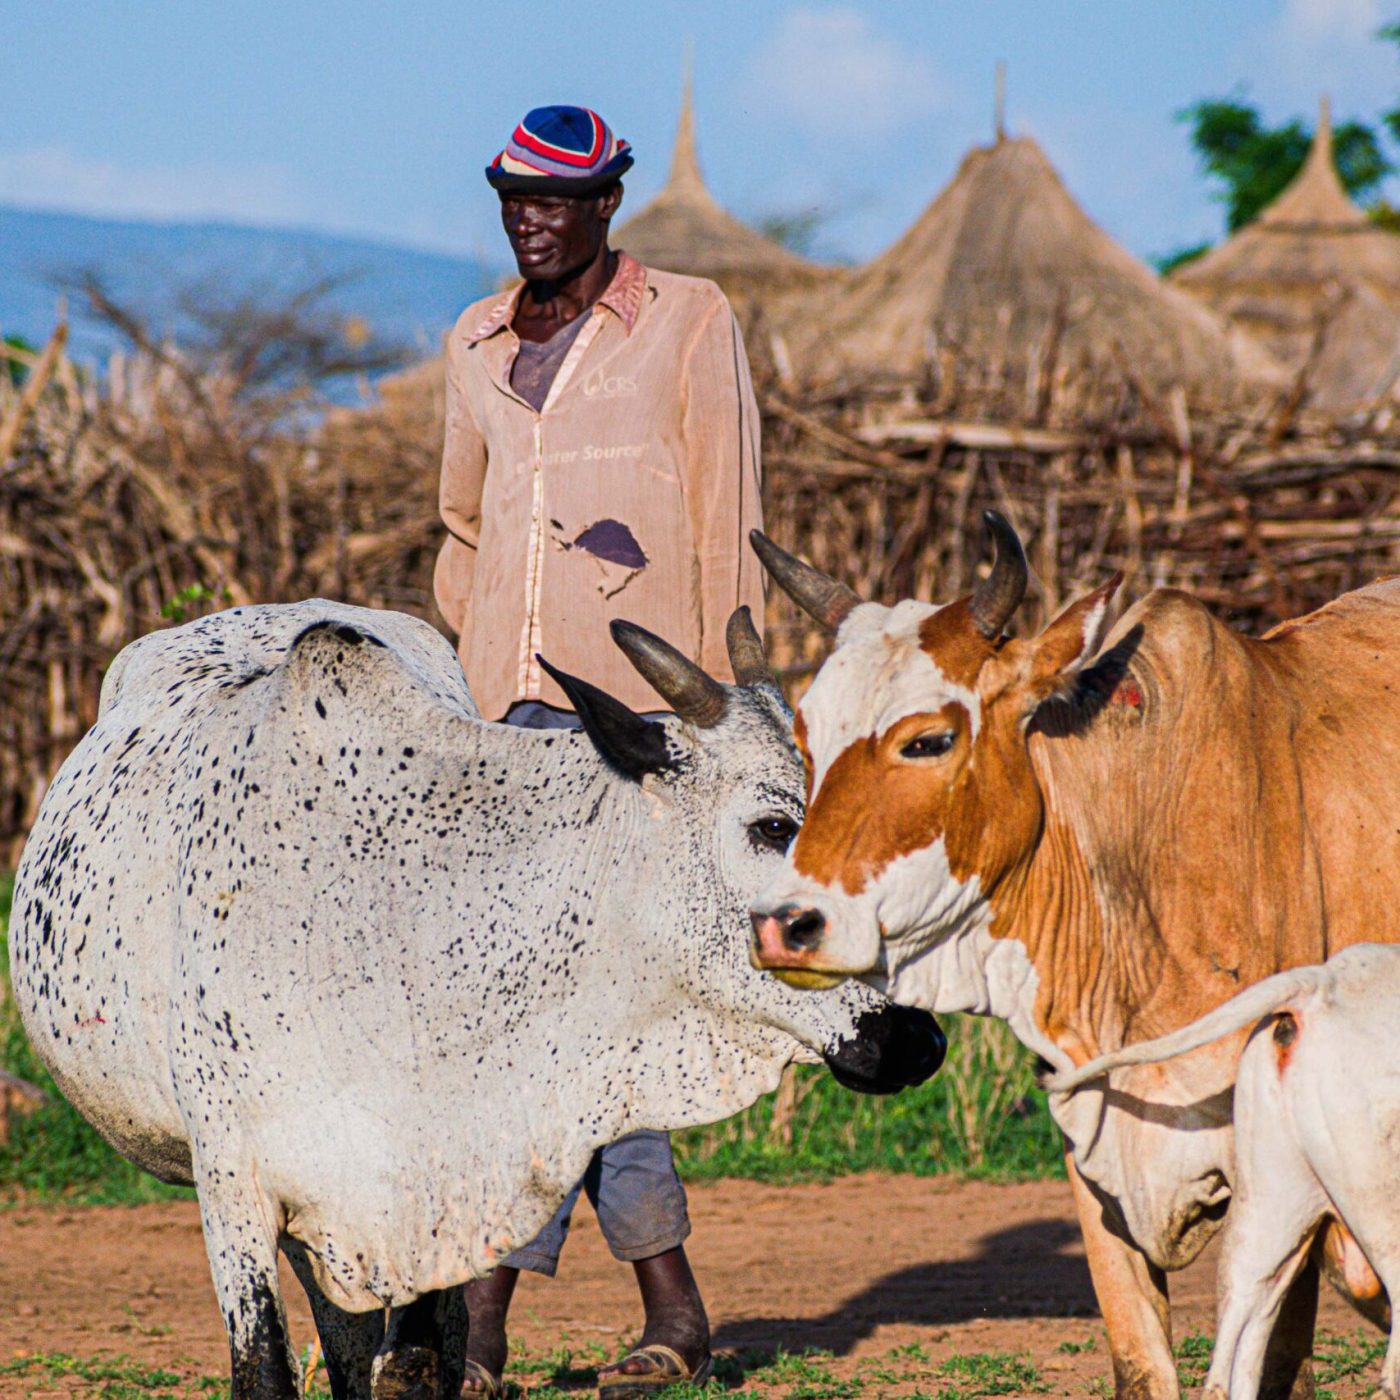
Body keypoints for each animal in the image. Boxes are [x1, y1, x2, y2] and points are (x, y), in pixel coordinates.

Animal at [8, 602, 940, 1400]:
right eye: (773, 827)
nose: (915, 1039)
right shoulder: (234, 1185)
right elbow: (267, 1373)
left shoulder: (445, 1201)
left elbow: (415, 1368)